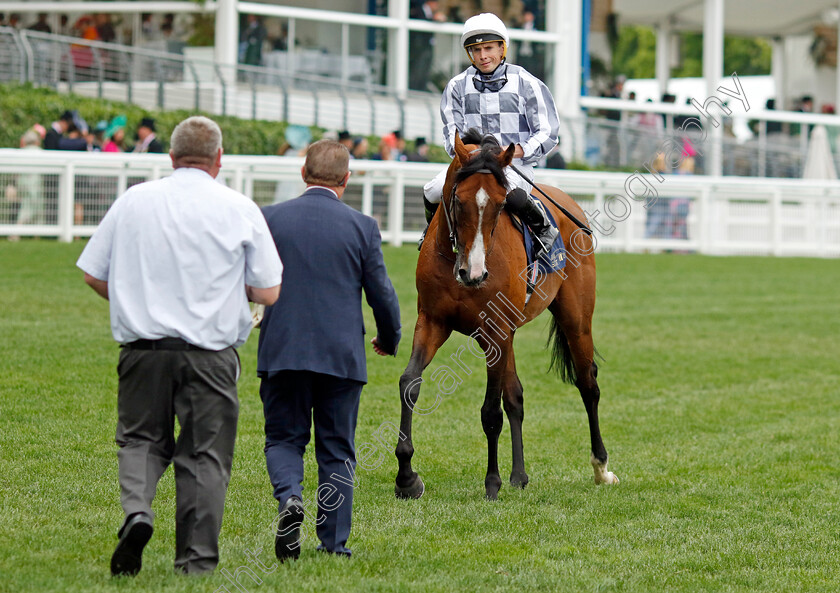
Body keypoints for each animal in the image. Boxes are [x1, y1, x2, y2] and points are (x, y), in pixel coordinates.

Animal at [394, 130, 616, 500]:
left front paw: (491, 482)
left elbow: (490, 411)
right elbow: (410, 383)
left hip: (576, 318)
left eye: (501, 205)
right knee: (516, 396)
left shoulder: (495, 331)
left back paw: (600, 468)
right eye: (458, 200)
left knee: (588, 384)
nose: (474, 274)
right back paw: (519, 474)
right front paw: (406, 477)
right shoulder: (433, 322)